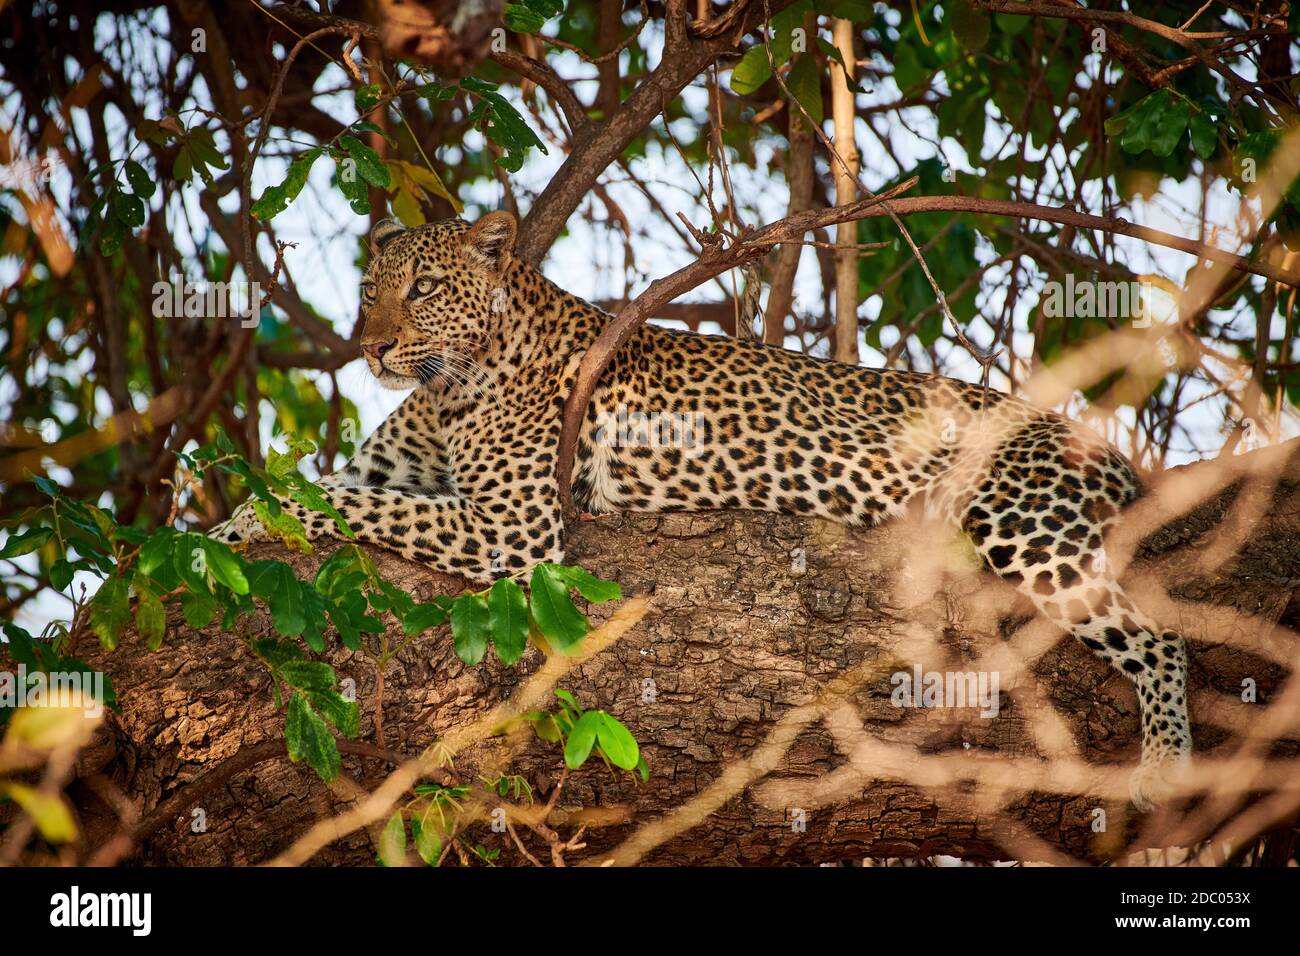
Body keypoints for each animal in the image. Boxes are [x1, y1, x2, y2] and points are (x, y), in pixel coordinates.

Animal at [215, 211, 1193, 809]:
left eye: (422, 288)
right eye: (368, 289)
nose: (371, 345)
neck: (453, 386)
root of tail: (1085, 439)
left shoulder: (513, 529)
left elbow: (343, 502)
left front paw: (259, 525)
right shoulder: (407, 473)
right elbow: (320, 488)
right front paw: (218, 532)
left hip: (1025, 525)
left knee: (1160, 636)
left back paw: (1168, 767)